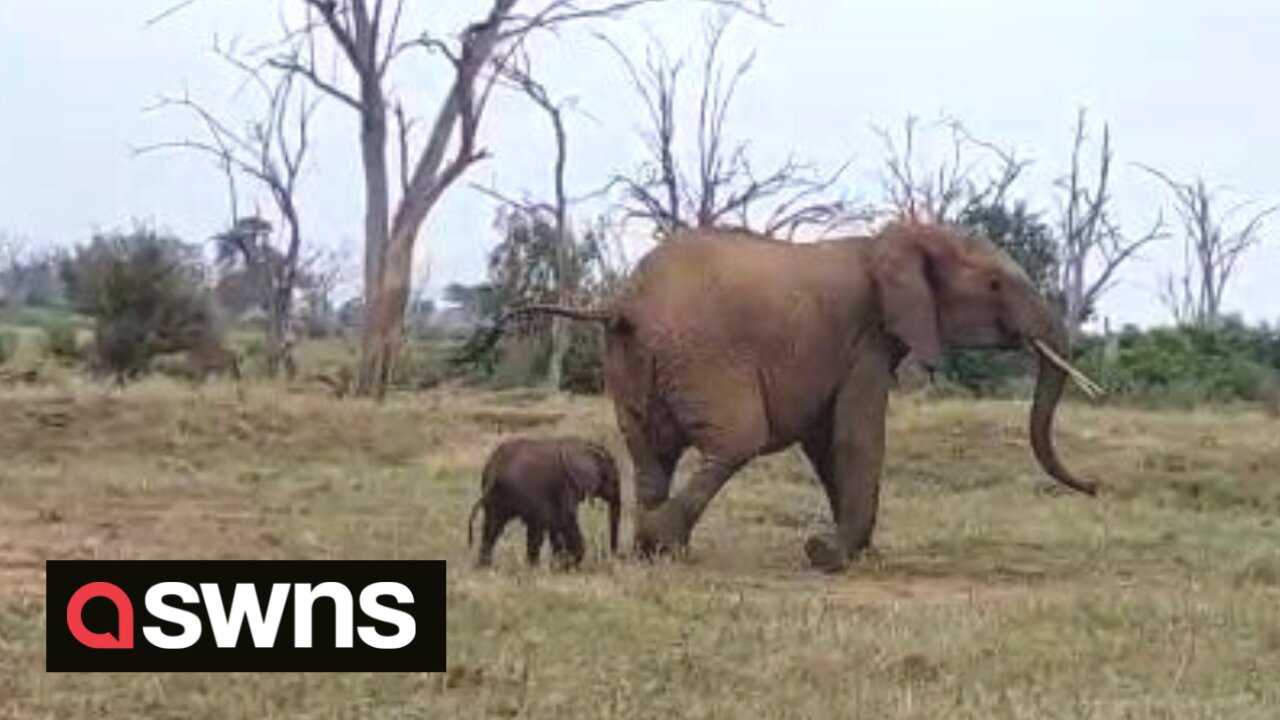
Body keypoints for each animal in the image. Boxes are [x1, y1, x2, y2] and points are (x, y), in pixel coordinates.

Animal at [468, 430, 622, 566]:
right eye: (614, 481)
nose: (614, 557)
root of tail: (495, 468)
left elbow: (556, 526)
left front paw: (561, 566)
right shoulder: (567, 484)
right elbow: (566, 520)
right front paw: (570, 565)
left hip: (495, 492)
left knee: (493, 527)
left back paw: (486, 567)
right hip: (523, 490)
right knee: (532, 528)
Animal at [506, 221, 1100, 568]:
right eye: (996, 285)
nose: (1095, 487)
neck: (893, 238)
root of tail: (620, 303)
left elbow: (825, 441)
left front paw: (860, 554)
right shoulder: (867, 338)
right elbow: (856, 437)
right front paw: (830, 556)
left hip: (631, 366)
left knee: (652, 455)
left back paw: (653, 552)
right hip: (702, 359)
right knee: (735, 442)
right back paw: (663, 541)